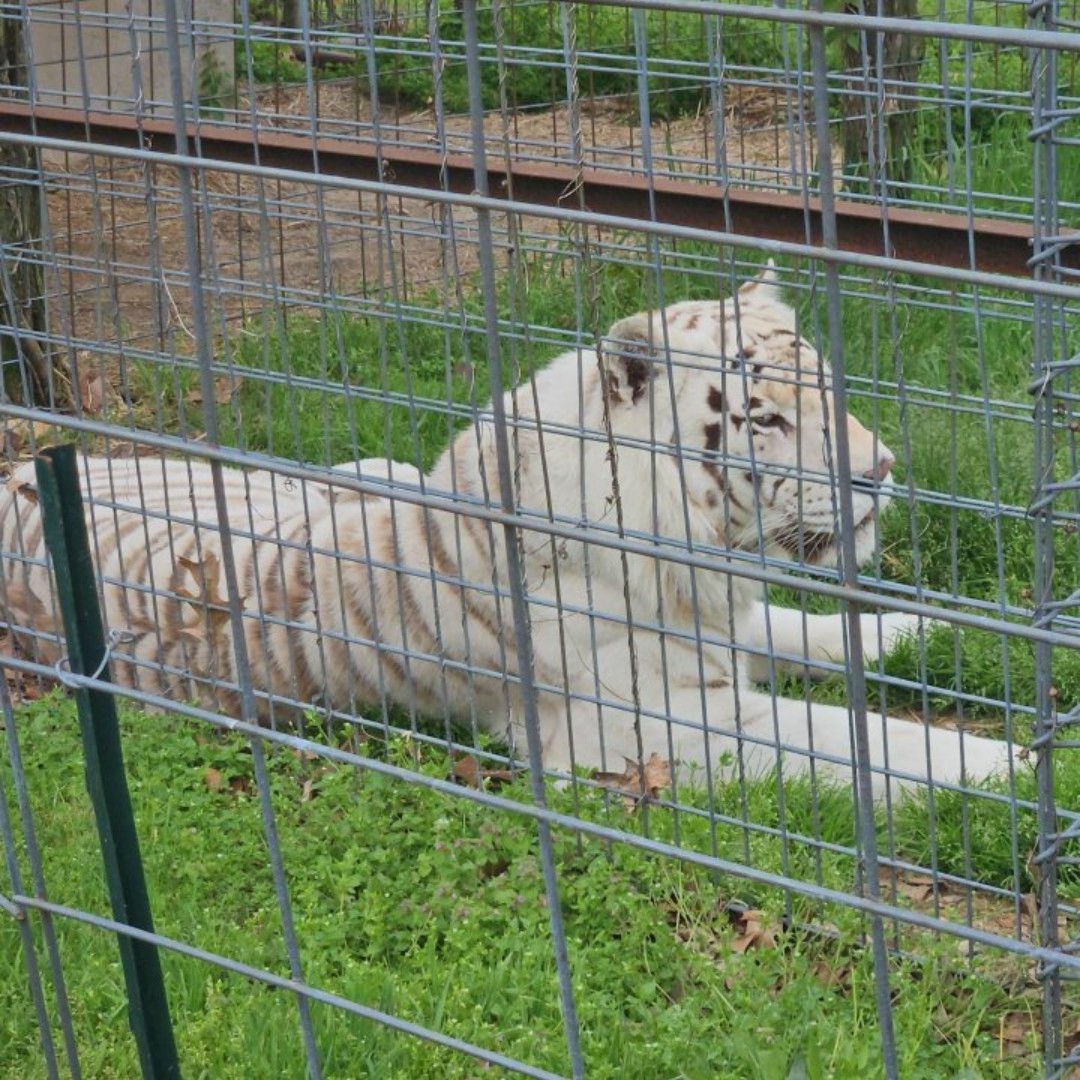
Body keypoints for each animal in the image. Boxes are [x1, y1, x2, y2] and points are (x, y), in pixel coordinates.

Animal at [0, 265, 1011, 799]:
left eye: (829, 387)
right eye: (764, 418)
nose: (882, 470)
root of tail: (27, 466)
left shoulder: (719, 626)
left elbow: (819, 633)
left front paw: (943, 636)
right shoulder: (642, 726)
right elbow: (852, 736)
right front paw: (1013, 767)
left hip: (364, 471)